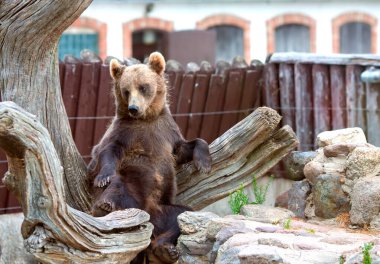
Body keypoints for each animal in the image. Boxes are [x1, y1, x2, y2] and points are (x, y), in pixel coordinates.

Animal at [88, 52, 212, 264]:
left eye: (143, 87)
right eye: (126, 90)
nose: (133, 108)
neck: (146, 119)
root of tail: (147, 214)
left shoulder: (166, 131)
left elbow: (185, 147)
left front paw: (204, 163)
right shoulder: (125, 131)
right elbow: (107, 150)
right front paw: (103, 177)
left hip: (164, 209)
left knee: (182, 216)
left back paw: (164, 250)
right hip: (132, 188)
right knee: (118, 186)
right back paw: (105, 206)